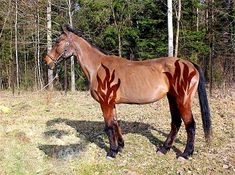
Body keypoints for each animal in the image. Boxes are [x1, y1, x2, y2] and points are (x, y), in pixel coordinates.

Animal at [43, 25, 211, 160]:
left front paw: (112, 152)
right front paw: (120, 146)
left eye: (58, 41)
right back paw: (164, 149)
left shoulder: (105, 103)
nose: (46, 61)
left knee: (190, 125)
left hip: (183, 100)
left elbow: (108, 126)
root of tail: (189, 64)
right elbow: (115, 123)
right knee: (176, 122)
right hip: (172, 98)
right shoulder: (111, 103)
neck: (98, 67)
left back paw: (185, 154)